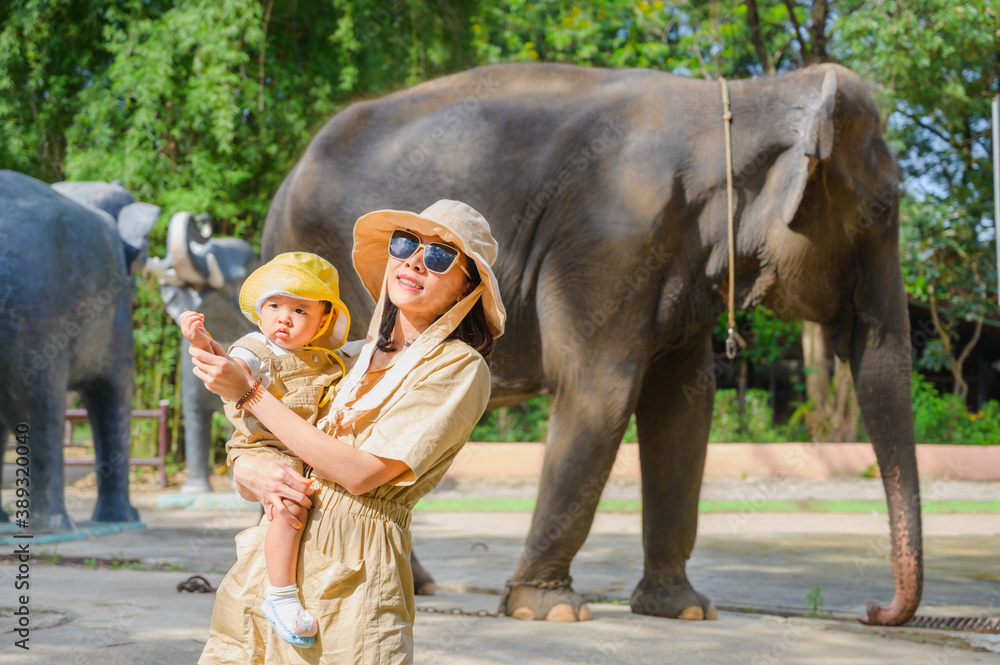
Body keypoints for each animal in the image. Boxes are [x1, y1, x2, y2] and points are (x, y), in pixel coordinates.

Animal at [260, 61, 920, 624]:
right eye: (884, 206)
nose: (873, 611)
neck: (743, 98)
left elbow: (684, 407)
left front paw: (684, 611)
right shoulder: (610, 240)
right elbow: (602, 392)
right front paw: (548, 611)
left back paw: (415, 585)